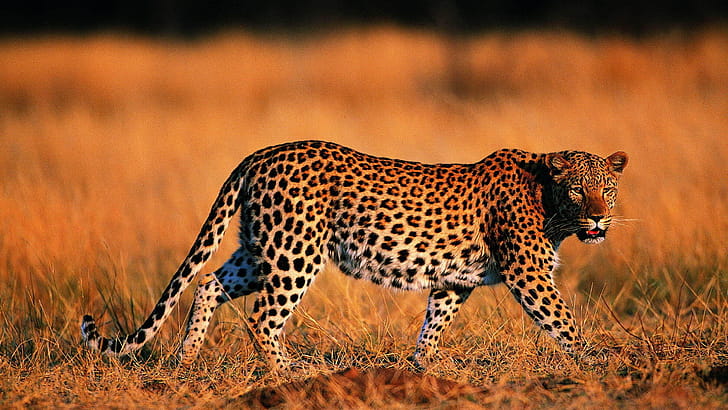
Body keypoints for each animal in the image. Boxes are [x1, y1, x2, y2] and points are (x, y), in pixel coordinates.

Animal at [81, 140, 628, 371]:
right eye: (578, 191)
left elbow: (434, 324)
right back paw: (291, 374)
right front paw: (597, 362)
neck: (550, 203)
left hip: (261, 249)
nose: (600, 220)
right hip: (294, 253)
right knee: (261, 318)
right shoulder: (527, 271)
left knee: (208, 283)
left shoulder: (456, 280)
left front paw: (419, 370)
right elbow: (563, 322)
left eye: (606, 189)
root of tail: (260, 153)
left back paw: (185, 360)